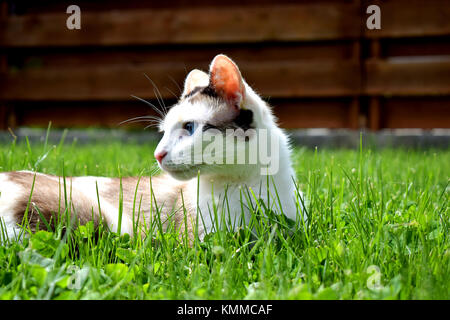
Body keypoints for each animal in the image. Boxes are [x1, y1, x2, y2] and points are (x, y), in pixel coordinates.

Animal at [0, 53, 304, 241]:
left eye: (189, 128)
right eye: (163, 132)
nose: (158, 154)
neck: (249, 187)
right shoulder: (205, 239)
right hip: (103, 222)